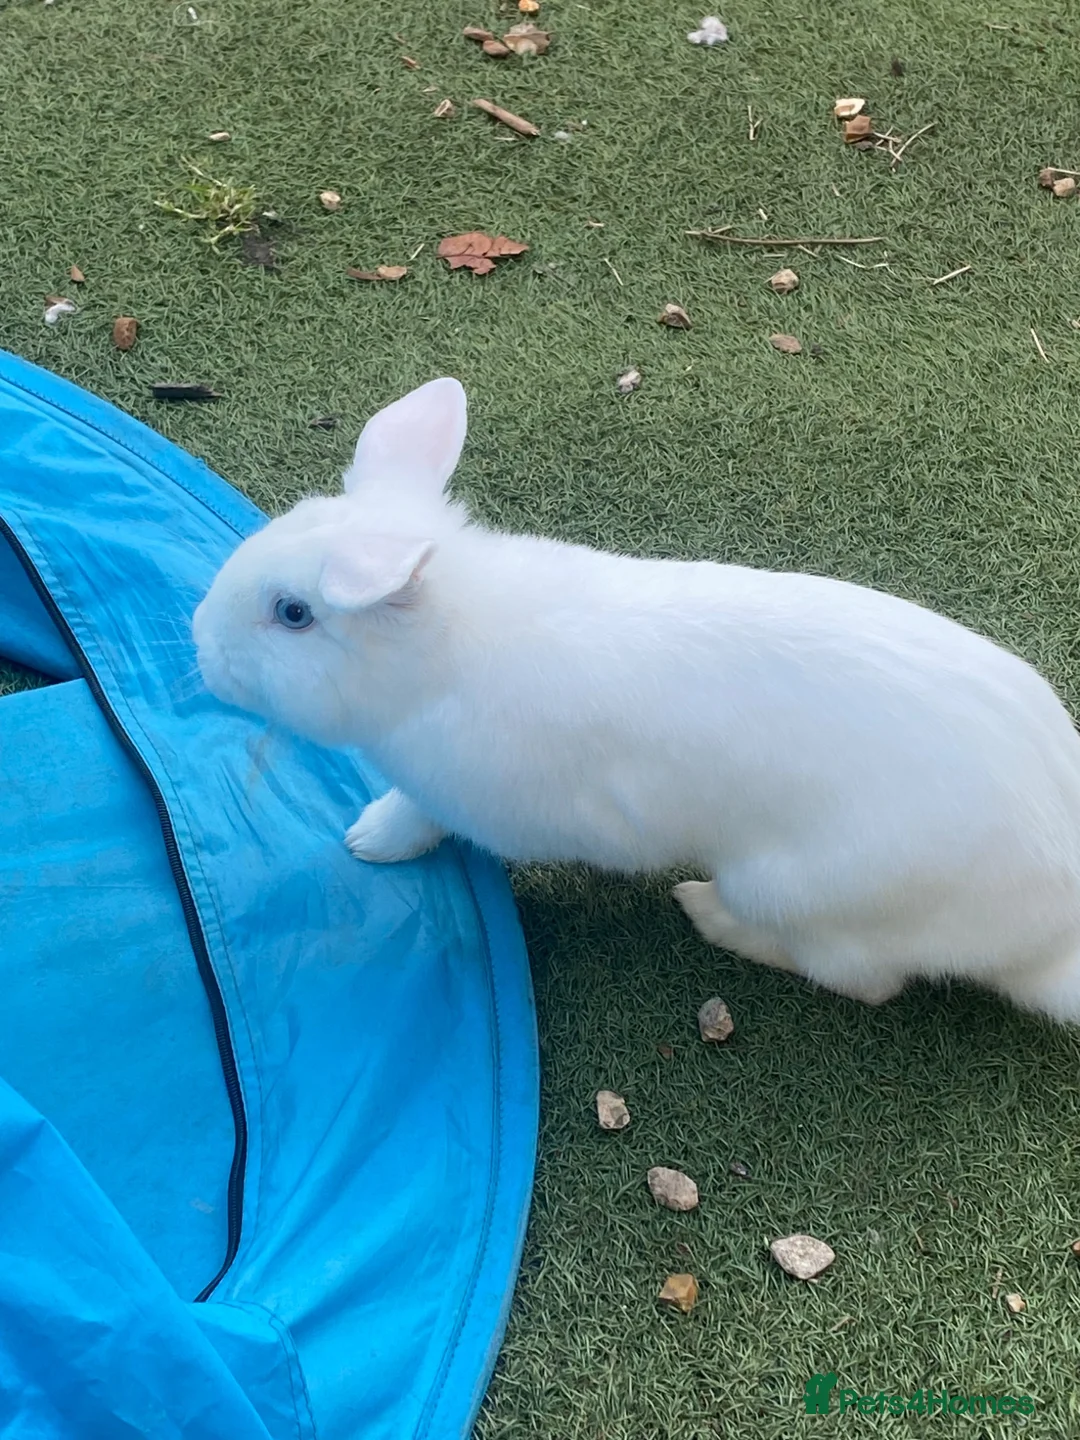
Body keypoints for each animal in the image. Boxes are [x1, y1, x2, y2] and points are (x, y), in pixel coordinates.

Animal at [193, 377, 1080, 1022]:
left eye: (294, 614)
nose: (199, 643)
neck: (445, 656)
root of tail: (1047, 936)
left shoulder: (464, 793)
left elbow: (423, 815)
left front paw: (371, 841)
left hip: (806, 896)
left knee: (862, 980)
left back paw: (706, 913)